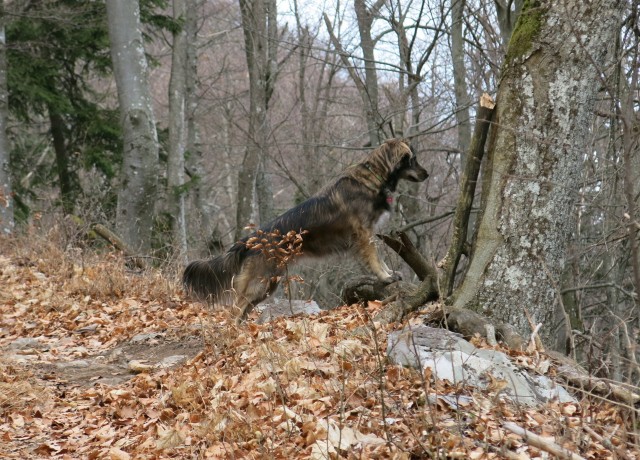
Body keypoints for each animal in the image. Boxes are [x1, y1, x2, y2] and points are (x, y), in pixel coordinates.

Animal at [182, 138, 428, 322]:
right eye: (413, 159)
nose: (427, 174)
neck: (373, 179)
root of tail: (250, 240)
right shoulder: (363, 235)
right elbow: (375, 259)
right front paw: (385, 277)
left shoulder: (368, 235)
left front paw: (390, 274)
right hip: (259, 283)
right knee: (234, 310)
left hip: (268, 284)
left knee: (243, 310)